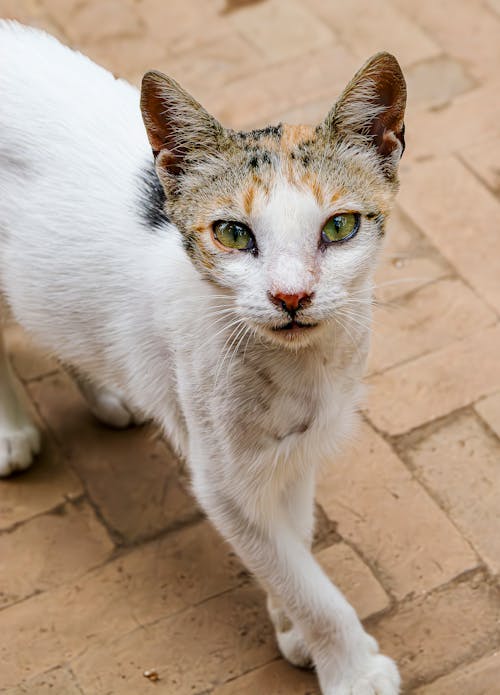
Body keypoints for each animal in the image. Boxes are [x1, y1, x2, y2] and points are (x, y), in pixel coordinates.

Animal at [0, 21, 406, 695]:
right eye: (234, 234)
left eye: (340, 226)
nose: (290, 296)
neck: (301, 369)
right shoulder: (222, 479)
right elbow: (303, 578)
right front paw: (349, 665)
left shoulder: (295, 454)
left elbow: (293, 541)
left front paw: (290, 625)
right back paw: (11, 430)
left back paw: (106, 393)